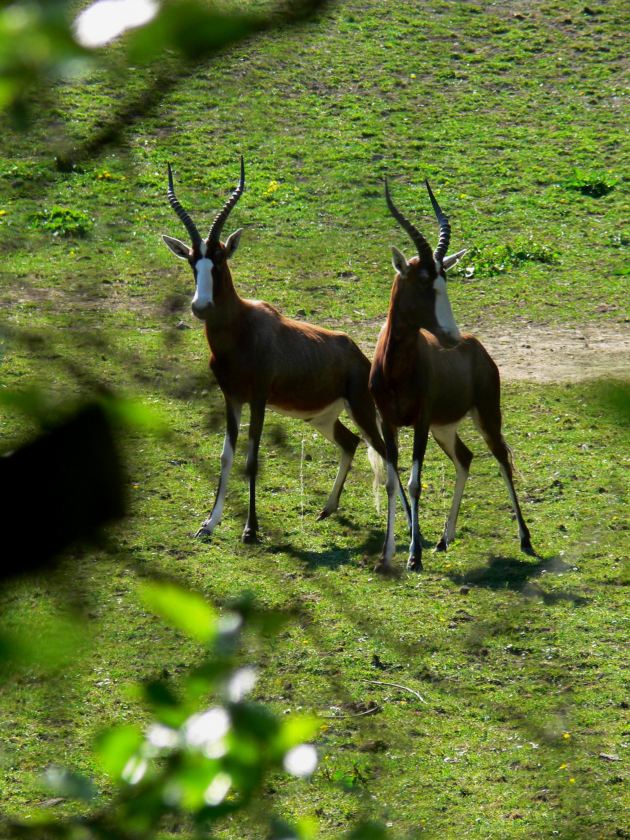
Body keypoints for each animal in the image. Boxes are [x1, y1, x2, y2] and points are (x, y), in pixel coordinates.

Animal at [162, 158, 414, 544]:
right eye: (193, 261)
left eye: (218, 260)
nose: (200, 306)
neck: (243, 328)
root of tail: (357, 354)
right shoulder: (231, 398)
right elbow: (226, 456)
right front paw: (208, 524)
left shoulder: (259, 398)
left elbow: (251, 459)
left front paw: (250, 530)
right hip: (321, 418)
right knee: (350, 442)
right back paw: (327, 509)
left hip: (360, 407)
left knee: (386, 453)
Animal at [370, 176, 540, 572]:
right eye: (423, 282)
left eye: (445, 281)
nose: (452, 337)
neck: (397, 368)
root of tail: (479, 349)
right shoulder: (388, 422)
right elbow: (392, 481)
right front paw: (387, 555)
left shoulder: (419, 421)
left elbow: (414, 483)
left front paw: (413, 557)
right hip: (443, 428)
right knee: (465, 457)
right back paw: (443, 540)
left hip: (485, 416)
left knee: (502, 458)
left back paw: (525, 540)